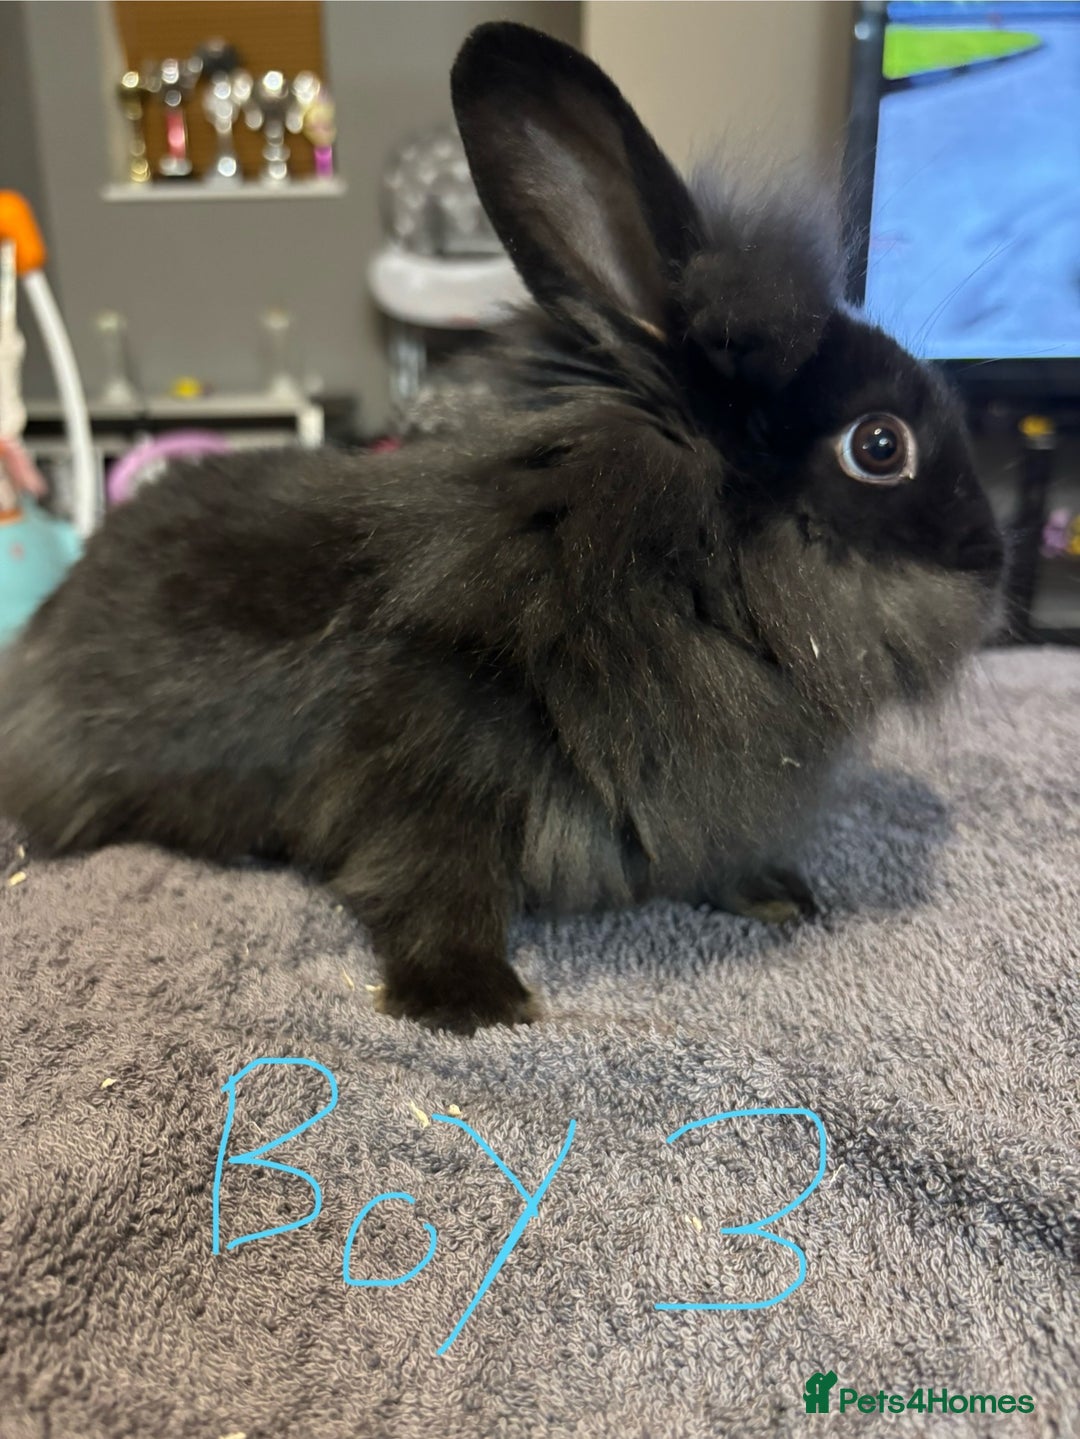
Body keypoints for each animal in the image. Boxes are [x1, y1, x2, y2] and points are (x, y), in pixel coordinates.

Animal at [0, 22, 1003, 1032]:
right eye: (880, 445)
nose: (994, 562)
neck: (658, 562)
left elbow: (710, 856)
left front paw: (779, 895)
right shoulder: (432, 791)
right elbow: (436, 894)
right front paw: (475, 1003)